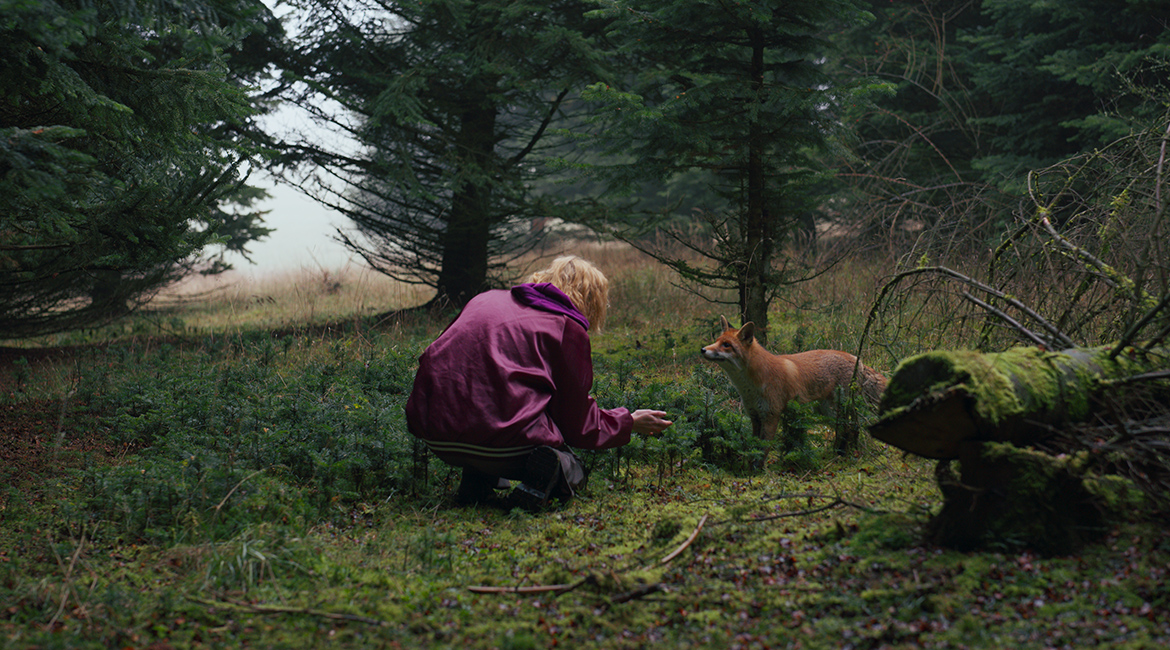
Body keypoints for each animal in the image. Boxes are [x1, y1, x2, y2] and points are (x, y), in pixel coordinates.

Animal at [702, 315, 884, 439]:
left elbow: (762, 449)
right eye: (716, 341)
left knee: (852, 428)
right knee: (846, 429)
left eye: (726, 345)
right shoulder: (755, 415)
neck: (750, 387)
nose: (703, 349)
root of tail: (857, 359)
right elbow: (754, 445)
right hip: (828, 411)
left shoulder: (771, 415)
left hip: (840, 407)